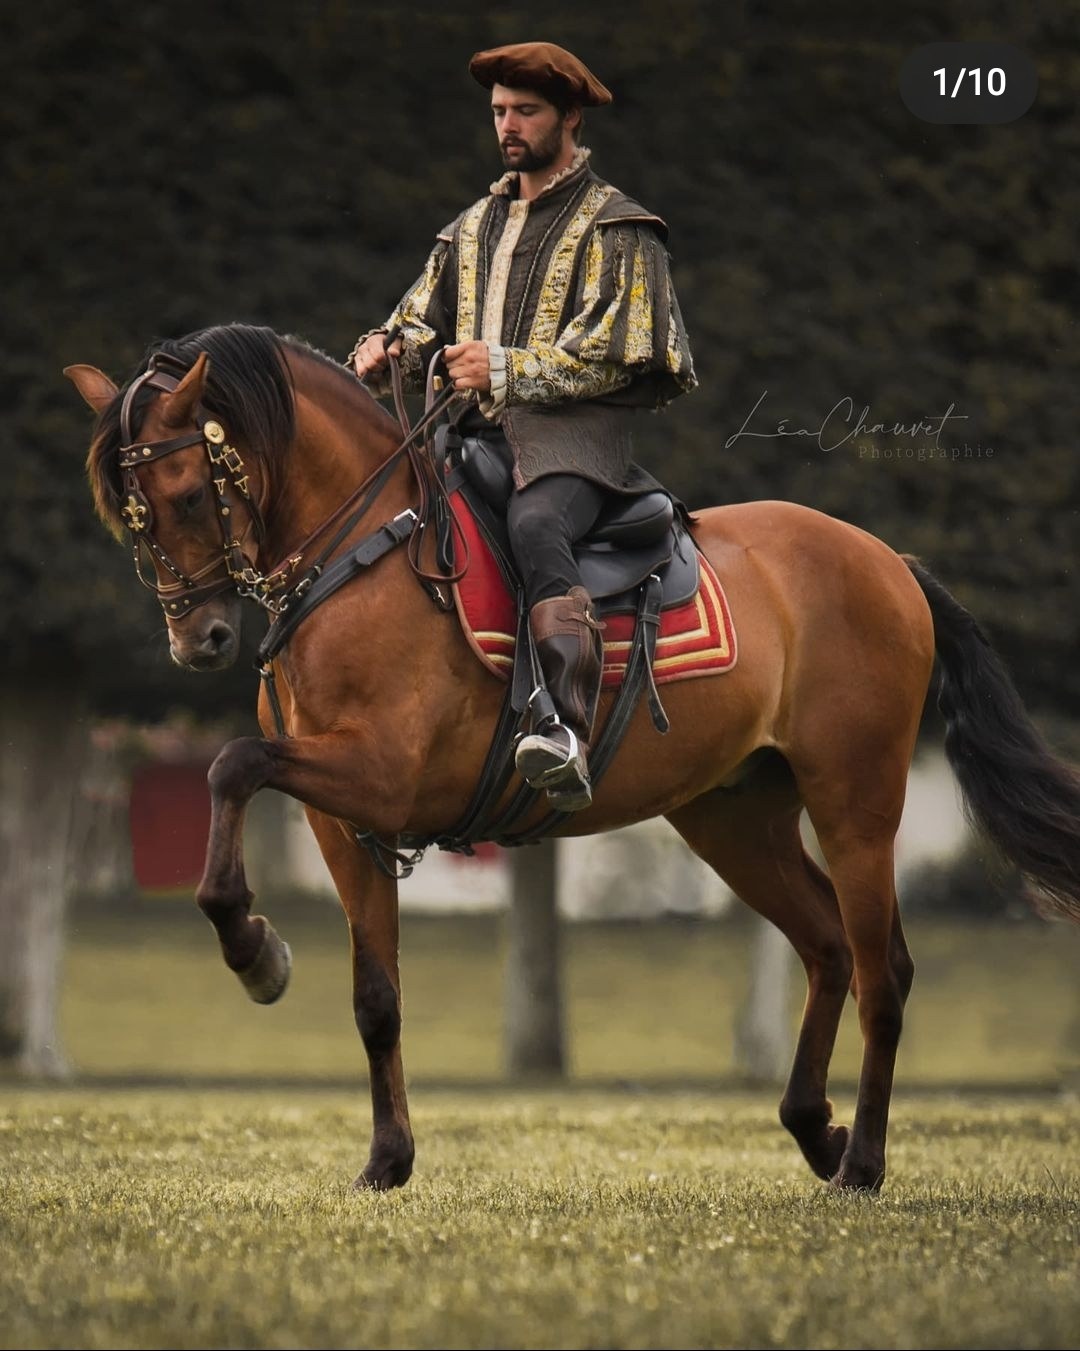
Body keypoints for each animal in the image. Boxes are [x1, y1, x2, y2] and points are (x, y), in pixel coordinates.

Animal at [68, 323, 1080, 1193]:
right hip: (733, 818)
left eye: (187, 495)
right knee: (829, 945)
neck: (367, 551)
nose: (199, 638)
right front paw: (387, 1158)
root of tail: (889, 561)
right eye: (129, 516)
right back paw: (814, 1128)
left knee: (883, 971)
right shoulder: (340, 819)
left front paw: (254, 952)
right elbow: (375, 997)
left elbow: (231, 764)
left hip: (856, 801)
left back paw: (862, 1160)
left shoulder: (380, 776)